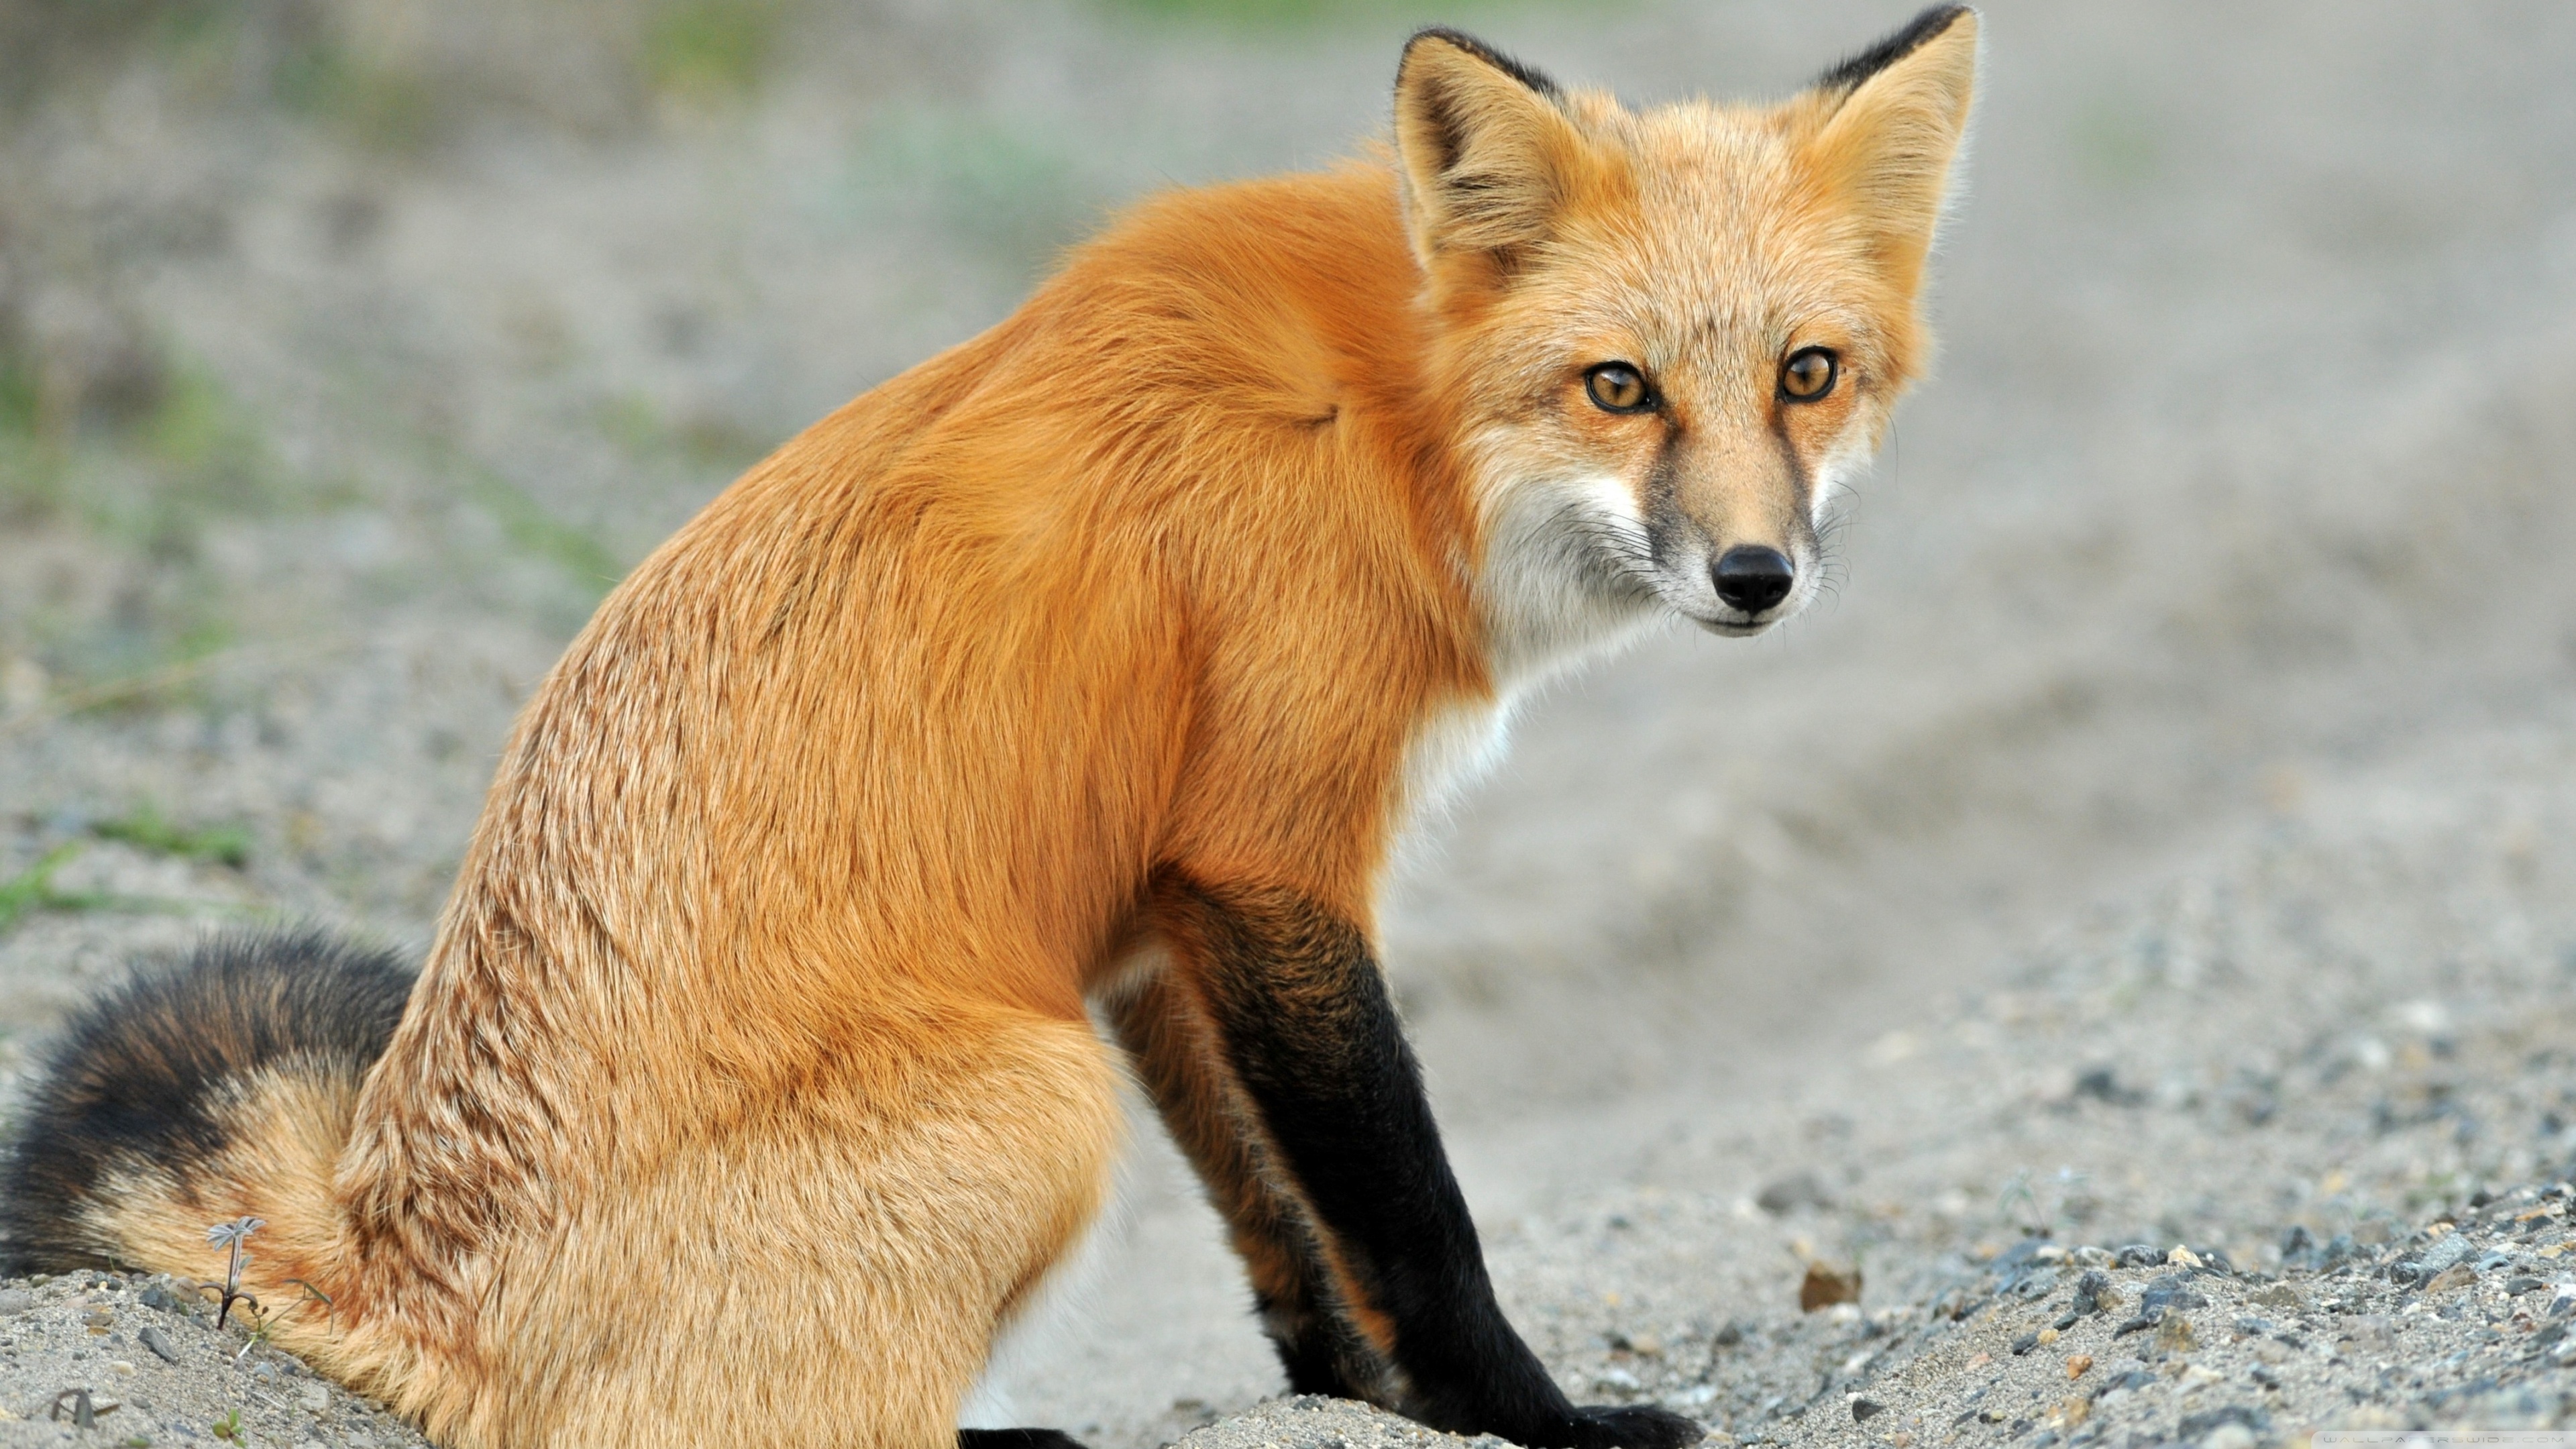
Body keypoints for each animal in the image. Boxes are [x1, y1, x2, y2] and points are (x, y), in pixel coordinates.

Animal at [1, 9, 1977, 1449]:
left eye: (1805, 374)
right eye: (1617, 387)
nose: (1754, 577)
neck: (1382, 424)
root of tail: (389, 1264)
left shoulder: (1164, 910)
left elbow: (1277, 1217)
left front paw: (1355, 1406)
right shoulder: (1269, 866)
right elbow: (1411, 1210)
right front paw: (1537, 1424)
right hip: (1041, 1099)